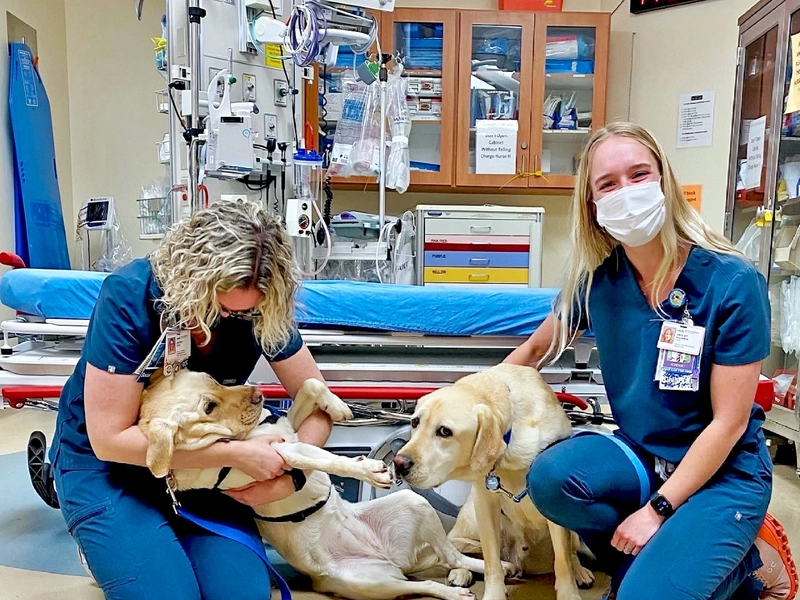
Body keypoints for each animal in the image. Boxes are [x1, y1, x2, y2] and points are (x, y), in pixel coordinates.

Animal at [138, 370, 516, 600]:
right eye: (208, 406)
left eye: (212, 379)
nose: (258, 394)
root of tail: (393, 559)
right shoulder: (283, 452)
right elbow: (327, 460)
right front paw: (366, 468)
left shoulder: (289, 428)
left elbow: (310, 384)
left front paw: (336, 406)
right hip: (373, 582)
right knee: (421, 584)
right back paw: (453, 591)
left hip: (414, 504)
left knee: (453, 555)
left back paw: (500, 568)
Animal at [394, 364, 592, 600]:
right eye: (415, 422)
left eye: (444, 431)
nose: (398, 463)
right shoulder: (485, 502)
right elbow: (491, 562)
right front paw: (494, 593)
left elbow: (563, 561)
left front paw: (569, 593)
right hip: (470, 519)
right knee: (459, 552)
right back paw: (461, 572)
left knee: (571, 552)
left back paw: (580, 571)